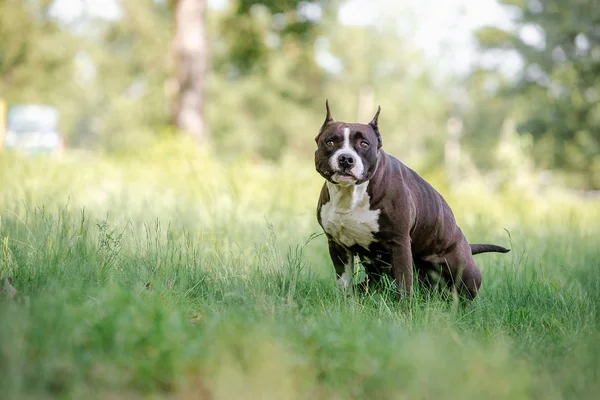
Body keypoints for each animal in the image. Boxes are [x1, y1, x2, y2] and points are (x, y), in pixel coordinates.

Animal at [316, 101, 508, 300]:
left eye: (364, 144)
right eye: (330, 142)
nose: (346, 158)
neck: (351, 193)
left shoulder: (399, 243)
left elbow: (404, 284)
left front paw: (404, 307)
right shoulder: (337, 245)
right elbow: (344, 283)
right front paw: (344, 302)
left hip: (465, 271)